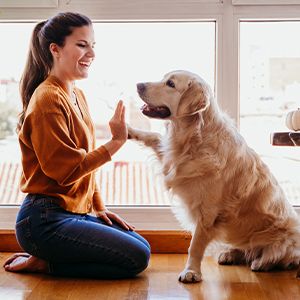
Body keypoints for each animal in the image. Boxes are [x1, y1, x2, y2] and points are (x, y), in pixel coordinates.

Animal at [127, 69, 300, 282]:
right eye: (164, 78)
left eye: (170, 84)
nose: (138, 85)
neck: (194, 138)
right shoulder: (171, 158)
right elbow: (153, 137)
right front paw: (127, 129)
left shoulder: (207, 213)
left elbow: (195, 246)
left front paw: (191, 272)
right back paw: (230, 254)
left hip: (285, 240)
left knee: (279, 257)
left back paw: (261, 263)